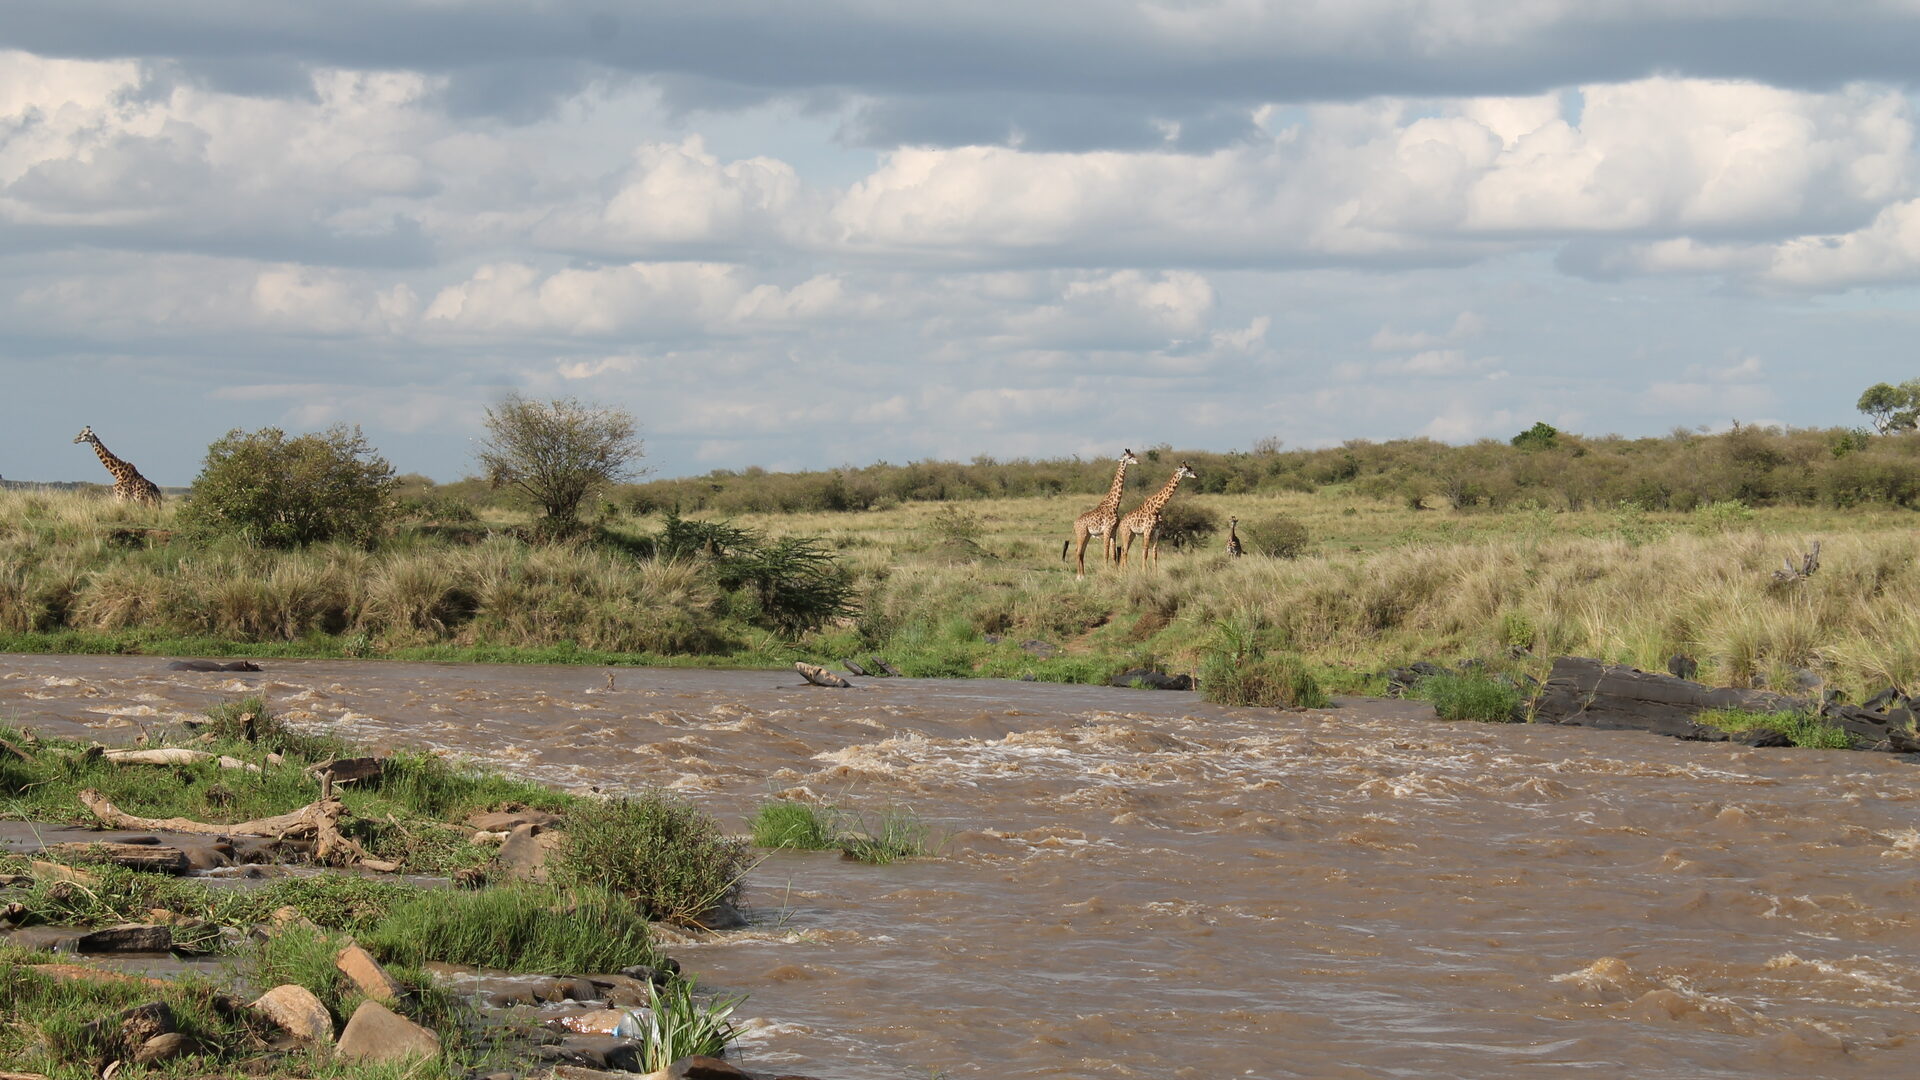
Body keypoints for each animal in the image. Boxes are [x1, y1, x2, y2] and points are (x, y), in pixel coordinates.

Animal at [1061, 448, 1139, 577]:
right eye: (1129, 457)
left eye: (1134, 455)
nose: (1138, 461)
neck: (1114, 504)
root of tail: (1074, 523)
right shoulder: (1107, 530)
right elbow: (1106, 553)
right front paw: (1106, 572)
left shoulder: (1113, 531)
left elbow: (1113, 554)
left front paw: (1116, 573)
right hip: (1081, 533)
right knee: (1078, 551)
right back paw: (1079, 576)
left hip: (1087, 535)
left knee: (1081, 551)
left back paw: (1083, 575)